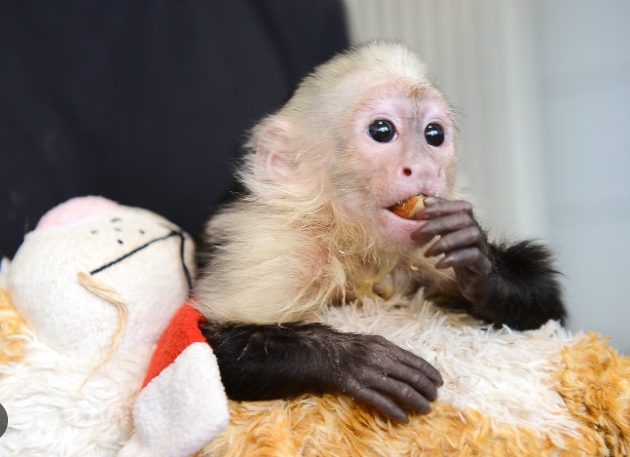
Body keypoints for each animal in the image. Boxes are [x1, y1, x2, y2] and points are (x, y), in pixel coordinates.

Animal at [195, 41, 564, 422]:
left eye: (434, 135)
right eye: (382, 131)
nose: (424, 167)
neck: (350, 236)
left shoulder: (425, 241)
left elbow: (547, 311)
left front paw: (477, 260)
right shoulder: (280, 247)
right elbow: (202, 347)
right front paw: (356, 360)